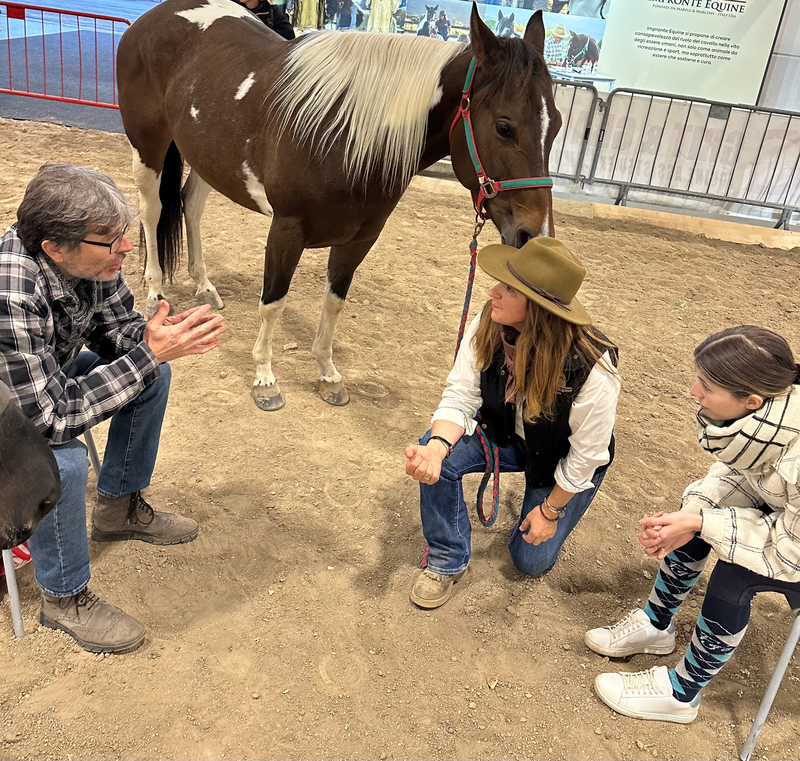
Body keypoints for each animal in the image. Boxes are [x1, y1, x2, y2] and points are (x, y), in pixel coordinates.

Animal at [117, 0, 562, 411]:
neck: (345, 135)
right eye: (504, 127)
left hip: (207, 158)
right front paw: (265, 379)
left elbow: (334, 303)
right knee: (153, 211)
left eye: (555, 124)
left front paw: (327, 374)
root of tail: (151, 18)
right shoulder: (286, 230)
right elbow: (273, 303)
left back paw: (205, 286)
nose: (534, 234)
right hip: (149, 145)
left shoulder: (359, 239)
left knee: (190, 206)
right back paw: (155, 292)